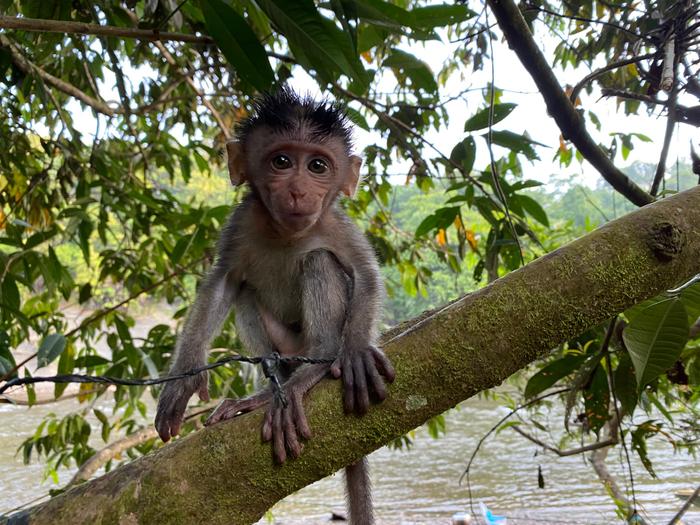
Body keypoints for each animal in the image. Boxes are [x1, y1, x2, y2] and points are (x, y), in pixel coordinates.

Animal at [155, 88, 394, 520]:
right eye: (281, 161)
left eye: (317, 166)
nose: (298, 190)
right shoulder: (241, 220)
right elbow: (223, 282)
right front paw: (183, 378)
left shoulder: (335, 223)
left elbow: (366, 274)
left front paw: (354, 352)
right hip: (286, 349)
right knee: (247, 290)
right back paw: (268, 393)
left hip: (309, 342)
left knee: (319, 261)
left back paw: (319, 361)